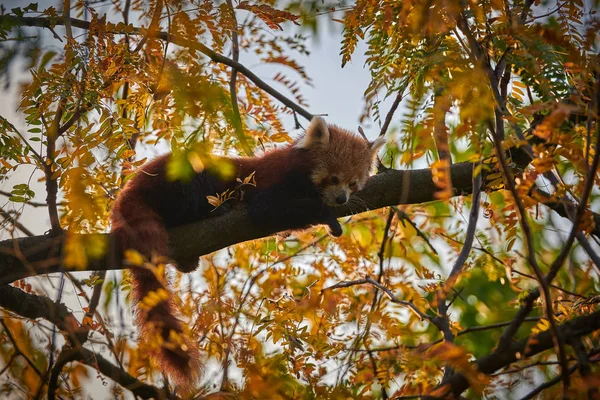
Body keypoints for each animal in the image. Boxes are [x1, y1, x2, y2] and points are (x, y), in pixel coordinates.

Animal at [110, 117, 386, 386]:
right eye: (334, 179)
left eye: (353, 183)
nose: (341, 199)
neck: (298, 172)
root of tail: (131, 187)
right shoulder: (273, 182)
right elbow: (269, 210)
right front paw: (327, 216)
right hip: (178, 177)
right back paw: (212, 211)